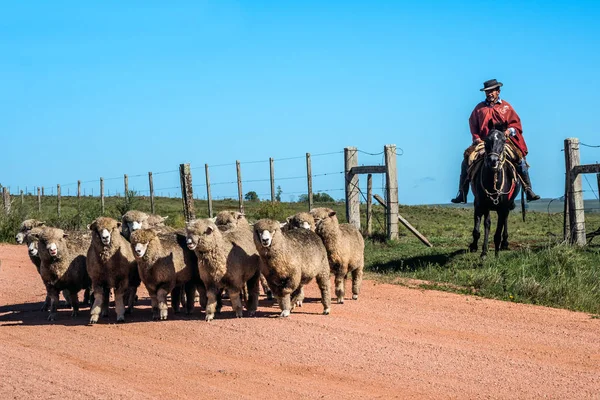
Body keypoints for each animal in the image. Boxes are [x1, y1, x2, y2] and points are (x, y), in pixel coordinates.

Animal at [468, 119, 520, 260]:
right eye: (486, 140)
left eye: (503, 140)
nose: (493, 160)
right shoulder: (483, 204)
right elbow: (485, 225)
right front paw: (482, 252)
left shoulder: (503, 207)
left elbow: (498, 230)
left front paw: (496, 254)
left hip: (506, 206)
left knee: (505, 220)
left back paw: (504, 243)